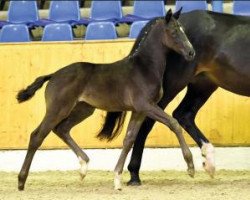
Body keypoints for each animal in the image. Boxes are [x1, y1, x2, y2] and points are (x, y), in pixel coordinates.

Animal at [16, 9, 195, 191]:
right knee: (37, 136)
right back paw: (21, 180)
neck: (144, 68)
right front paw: (190, 166)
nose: (191, 53)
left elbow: (129, 139)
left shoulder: (139, 110)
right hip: (58, 109)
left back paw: (83, 166)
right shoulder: (146, 105)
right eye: (173, 31)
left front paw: (117, 178)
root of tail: (53, 75)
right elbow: (174, 123)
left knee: (62, 129)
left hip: (83, 109)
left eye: (183, 30)